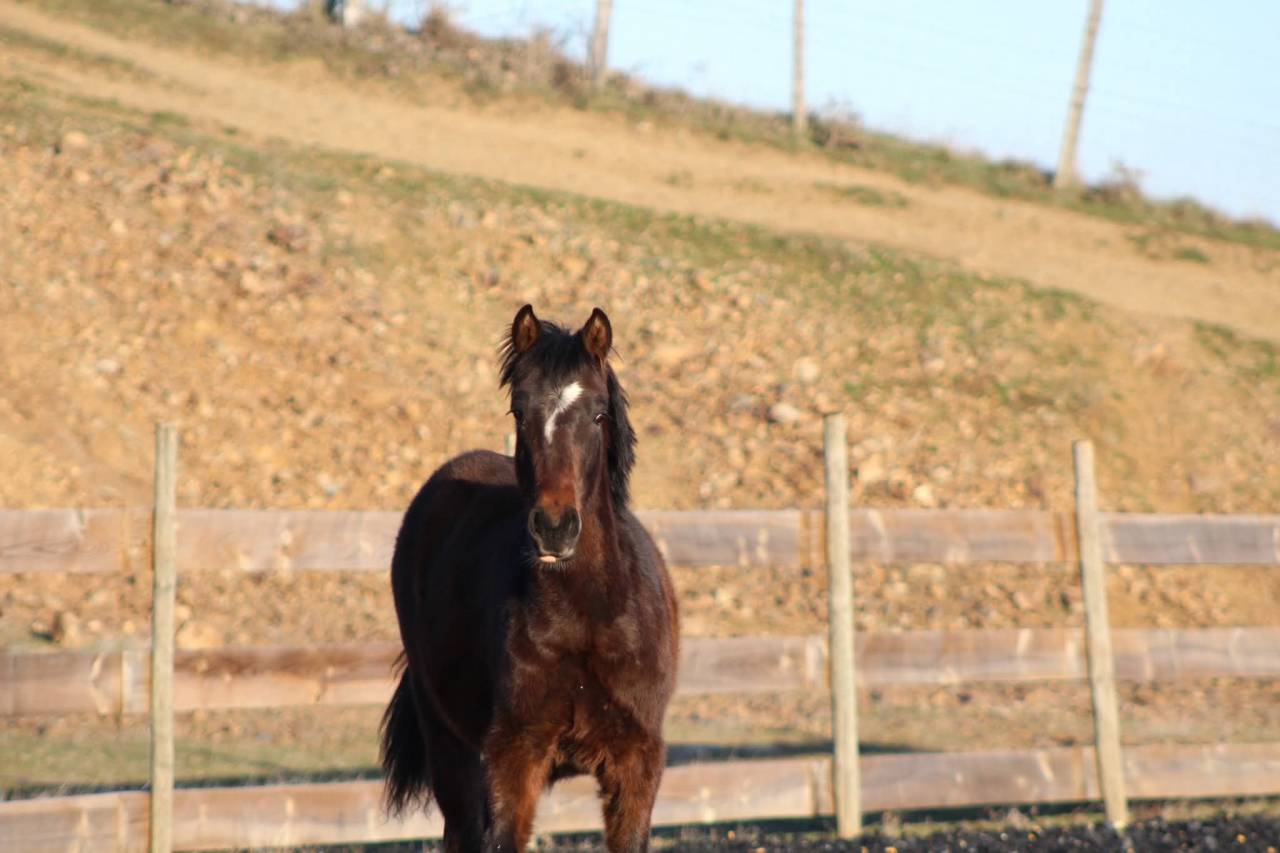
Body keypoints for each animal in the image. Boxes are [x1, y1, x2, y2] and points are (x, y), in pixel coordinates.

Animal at [380, 305, 680, 852]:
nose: (555, 527)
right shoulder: (513, 758)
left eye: (599, 413)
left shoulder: (637, 763)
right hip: (449, 747)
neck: (588, 617)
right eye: (519, 412)